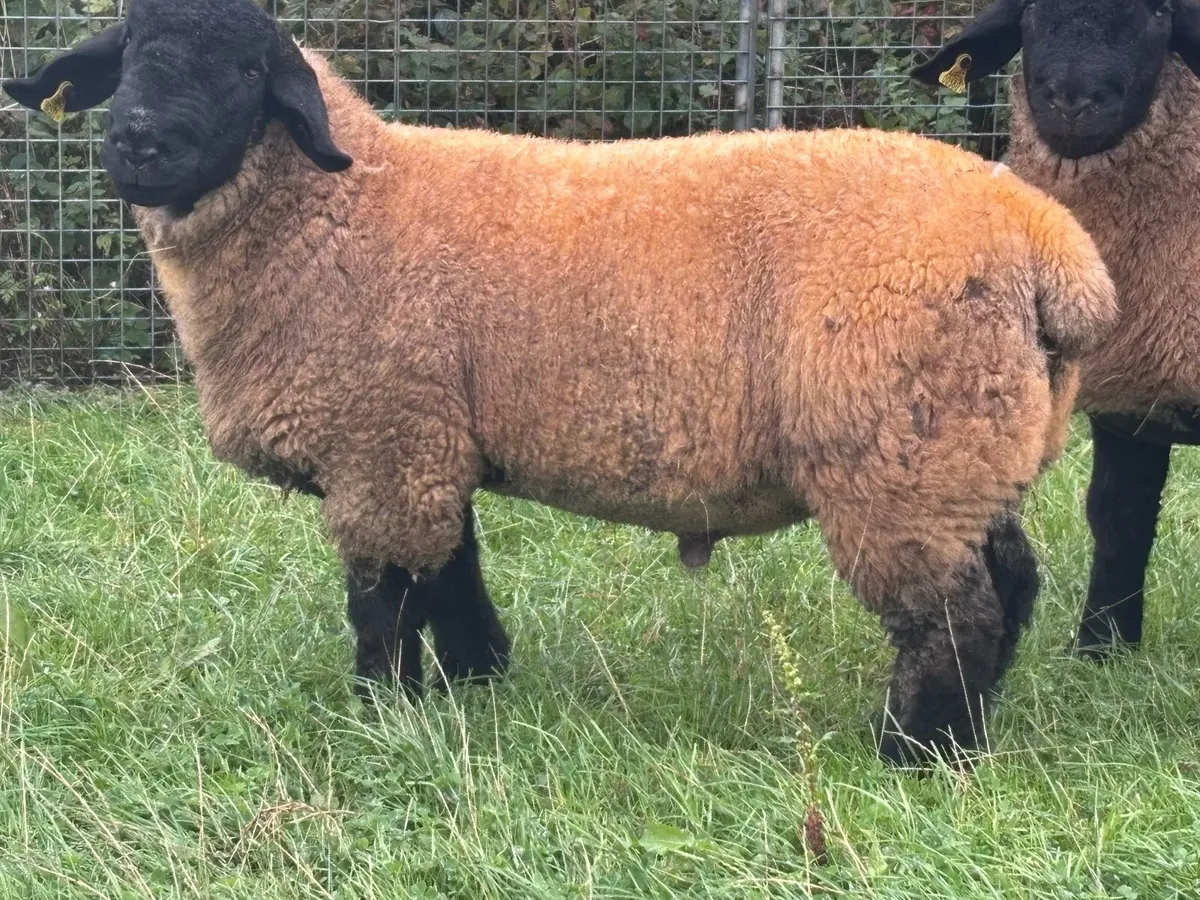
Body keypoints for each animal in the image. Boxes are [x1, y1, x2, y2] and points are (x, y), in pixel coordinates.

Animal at [4, 0, 1119, 765]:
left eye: (243, 69)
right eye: (125, 59)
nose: (138, 143)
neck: (340, 210)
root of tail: (1047, 247)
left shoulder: (383, 442)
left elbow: (385, 601)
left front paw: (384, 714)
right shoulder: (430, 435)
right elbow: (453, 570)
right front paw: (477, 682)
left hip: (897, 453)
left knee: (953, 614)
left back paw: (912, 754)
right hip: (971, 442)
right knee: (1011, 580)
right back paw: (975, 730)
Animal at [913, 0, 1200, 660]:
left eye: (1161, 13)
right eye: (1032, 11)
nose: (1072, 98)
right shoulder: (1133, 393)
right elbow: (1118, 516)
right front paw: (1102, 648)